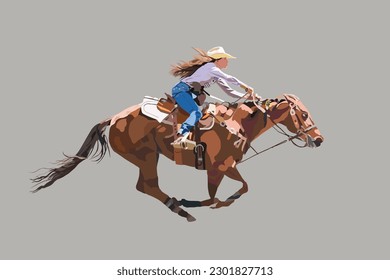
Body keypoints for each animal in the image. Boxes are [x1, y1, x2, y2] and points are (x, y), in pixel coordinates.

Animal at [30, 94, 324, 221]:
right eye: (304, 114)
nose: (319, 139)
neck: (237, 122)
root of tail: (113, 118)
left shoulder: (218, 169)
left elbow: (222, 193)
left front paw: (201, 202)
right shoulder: (221, 166)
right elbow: (236, 190)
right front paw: (206, 203)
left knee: (146, 186)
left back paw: (181, 205)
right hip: (147, 157)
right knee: (147, 186)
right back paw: (180, 209)